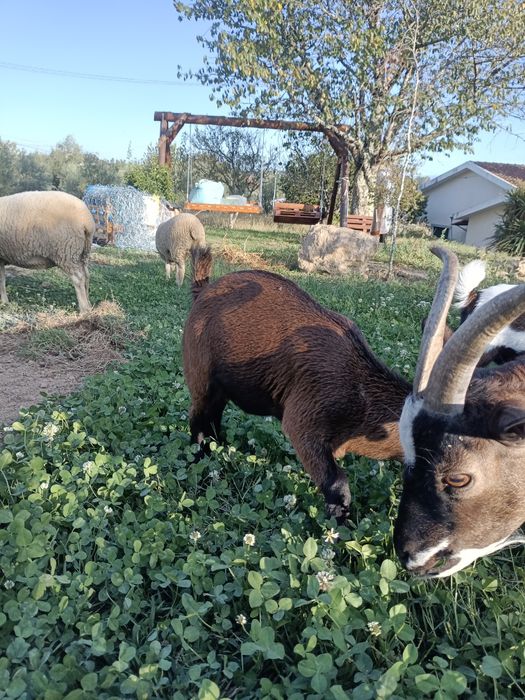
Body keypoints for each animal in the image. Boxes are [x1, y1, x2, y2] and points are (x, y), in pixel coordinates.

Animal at [183, 246, 525, 577]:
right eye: (458, 478)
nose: (412, 558)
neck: (360, 391)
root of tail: (204, 289)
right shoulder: (303, 421)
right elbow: (338, 485)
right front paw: (339, 539)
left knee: (213, 422)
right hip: (201, 375)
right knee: (199, 422)